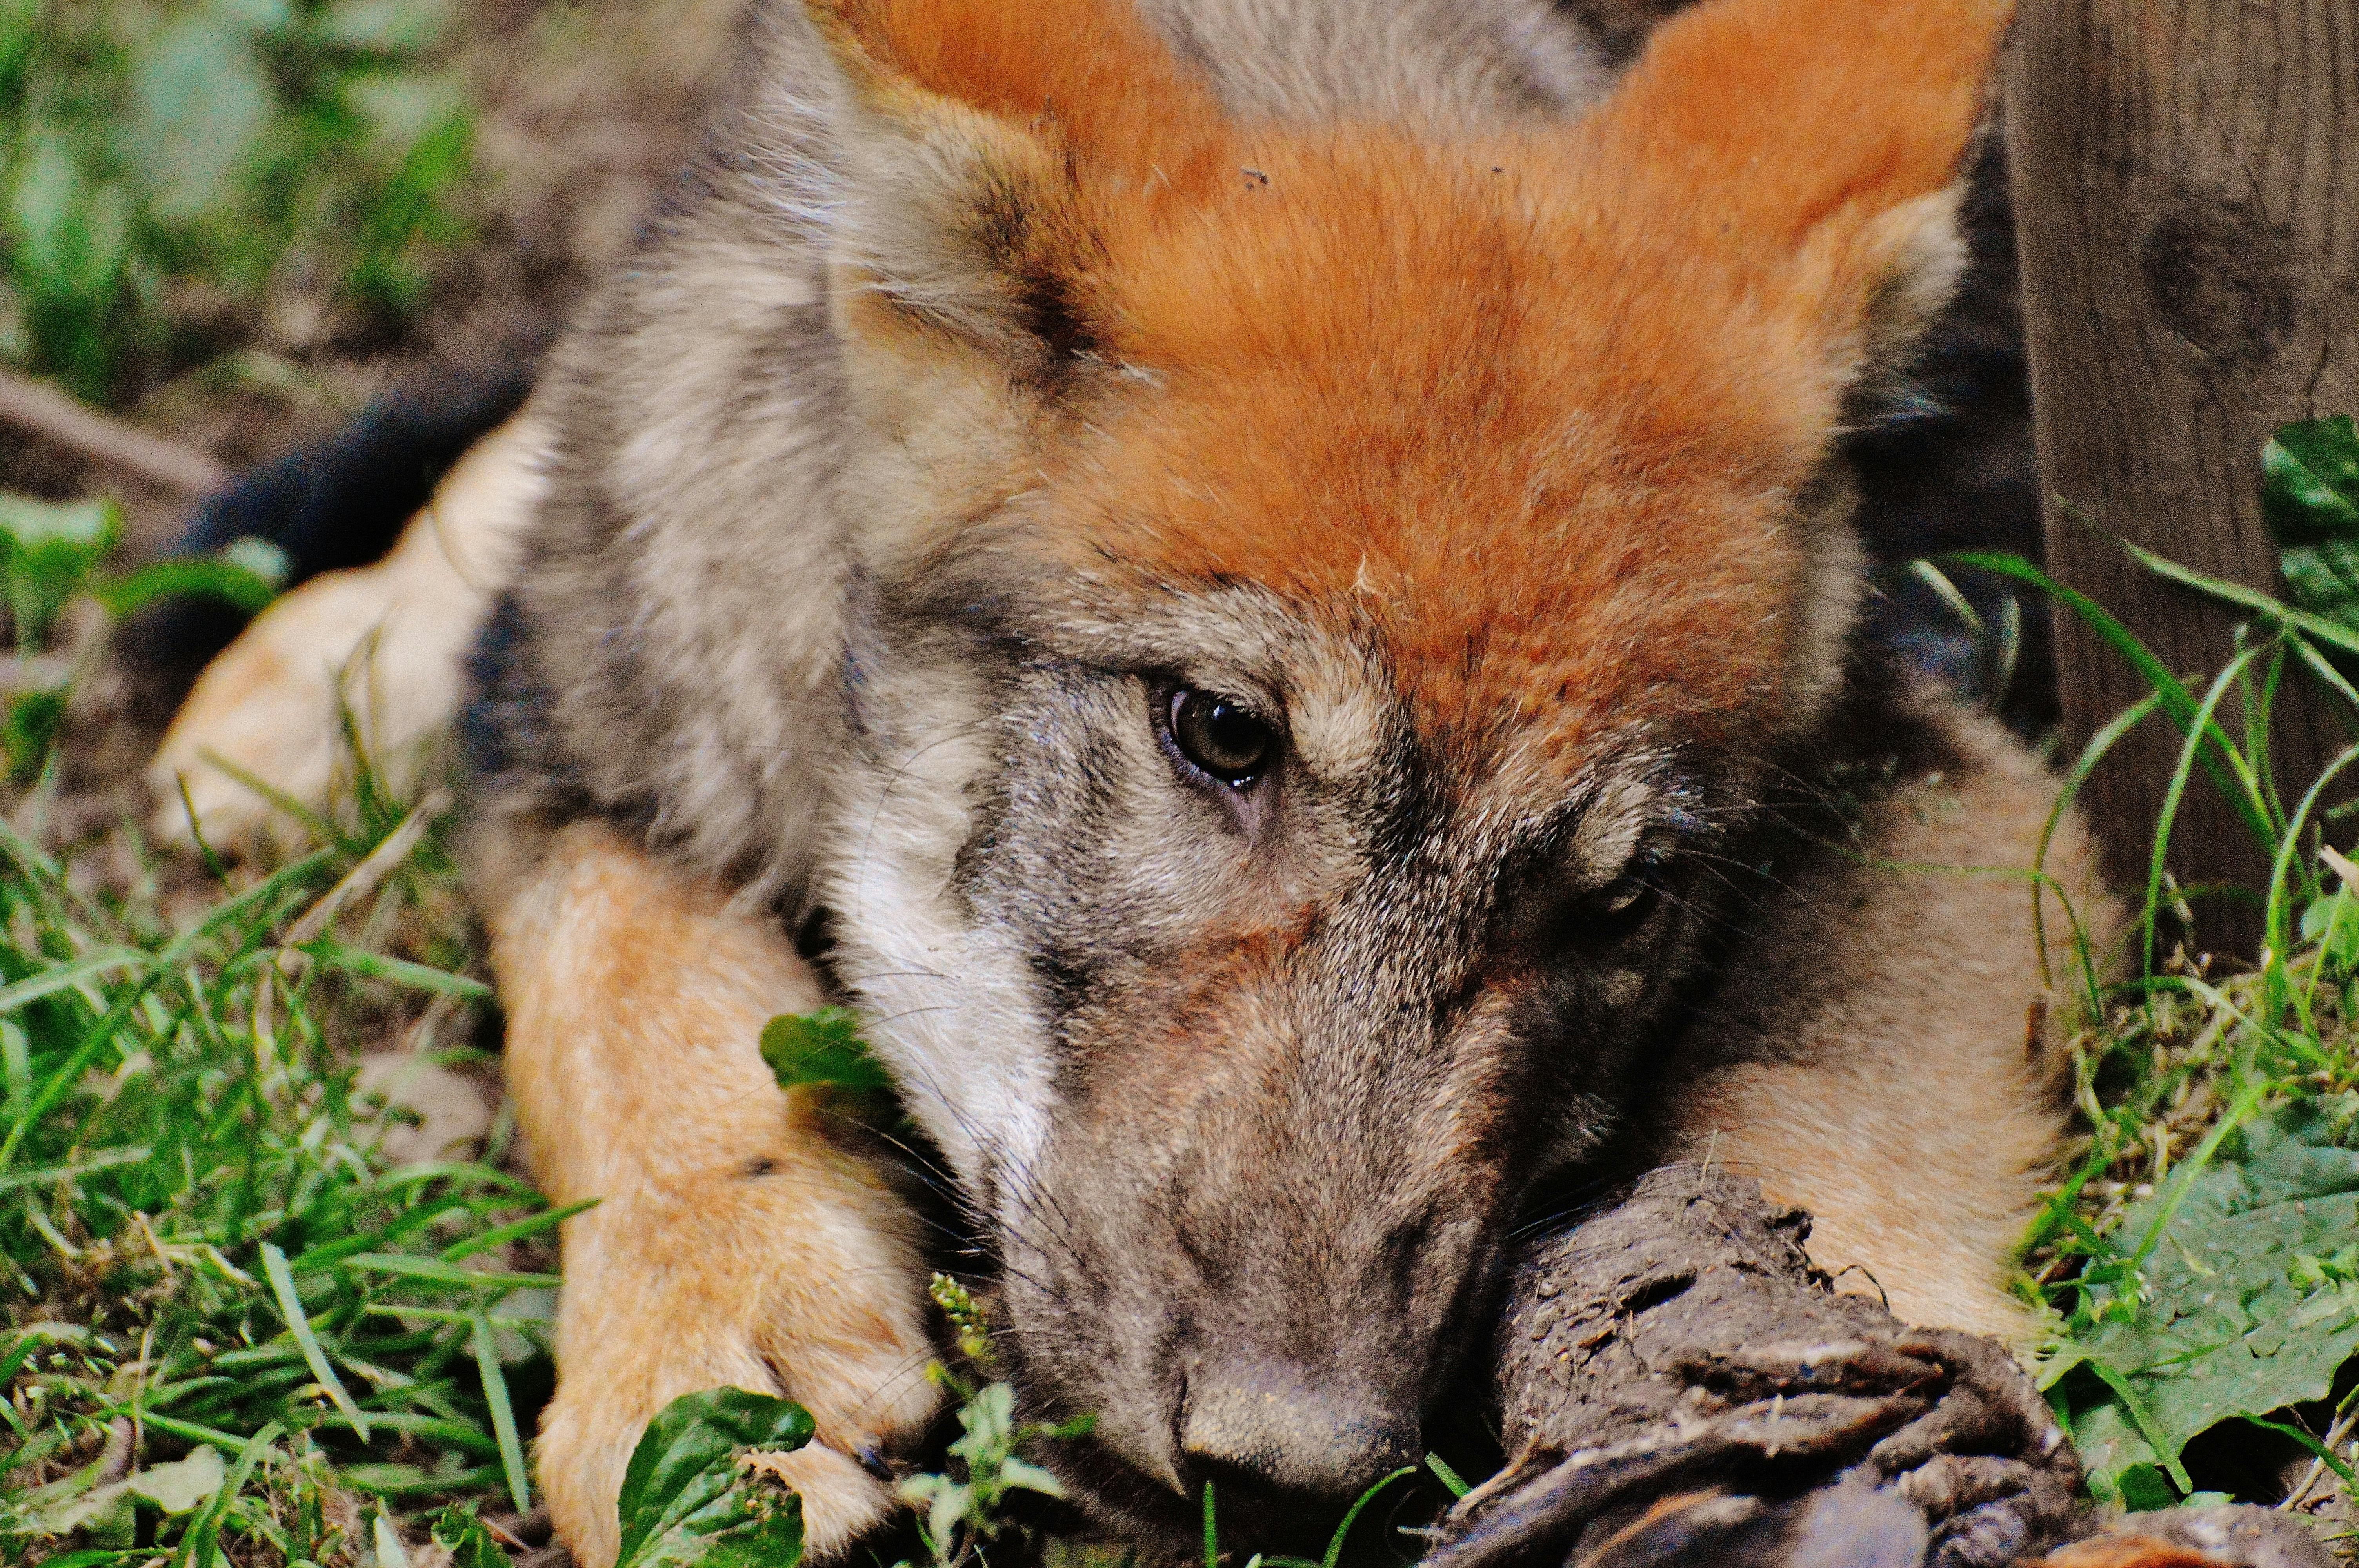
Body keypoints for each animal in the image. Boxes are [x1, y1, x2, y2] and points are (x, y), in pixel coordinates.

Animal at [149, 0, 2112, 1558]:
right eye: (1219, 735)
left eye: (1622, 900)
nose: (1291, 1466)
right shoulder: (583, 736)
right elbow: (622, 999)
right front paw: (709, 1332)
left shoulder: (1953, 783)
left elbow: (1825, 1120)